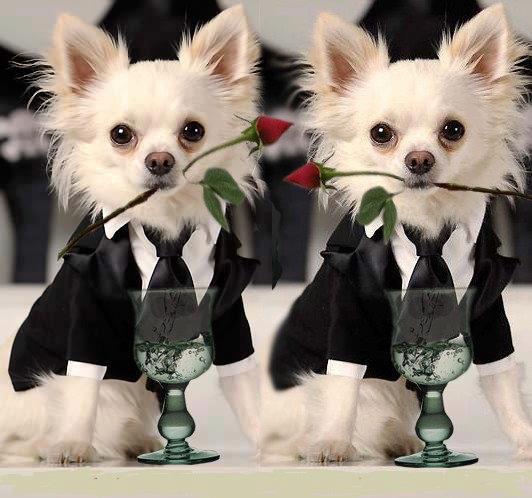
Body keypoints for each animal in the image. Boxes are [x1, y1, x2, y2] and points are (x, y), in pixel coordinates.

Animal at [0, 5, 262, 463]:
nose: (159, 160)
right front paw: (72, 445)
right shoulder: (87, 315)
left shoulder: (228, 314)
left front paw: (275, 440)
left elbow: (245, 386)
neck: (167, 233)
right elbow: (83, 386)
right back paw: (48, 444)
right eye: (120, 135)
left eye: (193, 131)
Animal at [262, 3, 532, 462]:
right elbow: (343, 385)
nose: (419, 159)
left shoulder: (490, 317)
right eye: (381, 134)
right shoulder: (348, 316)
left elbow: (504, 386)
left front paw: (526, 438)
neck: (424, 231)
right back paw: (309, 444)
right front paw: (333, 443)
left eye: (453, 130)